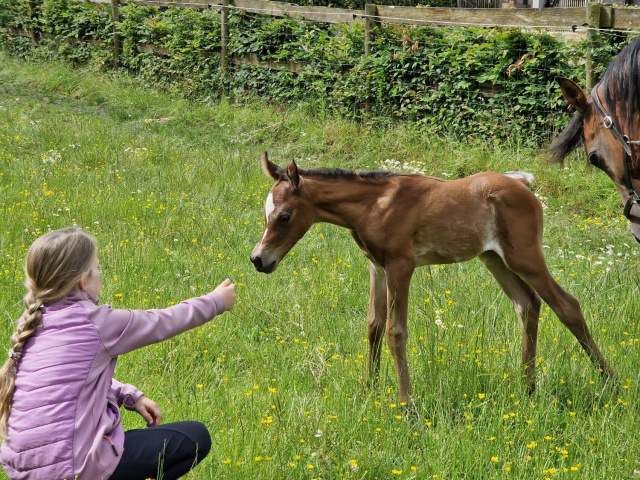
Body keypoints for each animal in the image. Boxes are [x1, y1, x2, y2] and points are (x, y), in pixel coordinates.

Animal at [250, 152, 616, 404]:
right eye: (266, 214)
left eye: (284, 217)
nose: (258, 260)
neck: (373, 204)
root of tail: (524, 184)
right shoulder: (377, 267)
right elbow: (374, 326)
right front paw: (369, 390)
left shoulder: (401, 265)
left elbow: (396, 332)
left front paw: (406, 405)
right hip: (494, 258)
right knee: (527, 304)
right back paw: (527, 388)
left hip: (525, 257)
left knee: (566, 305)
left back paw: (611, 382)